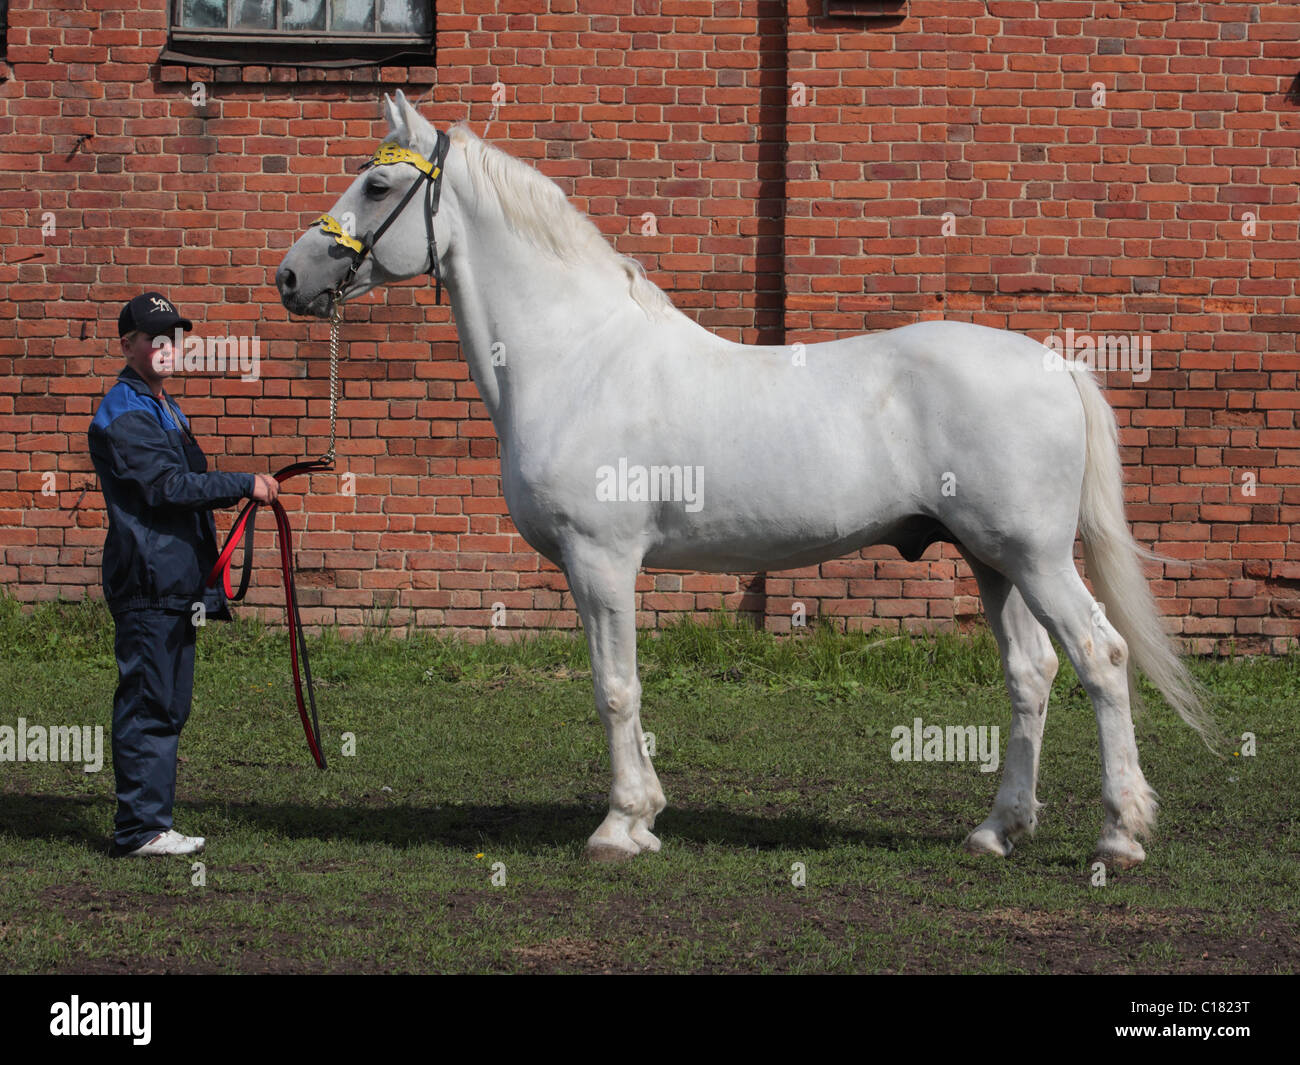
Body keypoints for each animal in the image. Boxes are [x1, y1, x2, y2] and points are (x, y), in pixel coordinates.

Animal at [276, 91, 1216, 868]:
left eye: (374, 184)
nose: (290, 275)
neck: (579, 357)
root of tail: (1055, 364)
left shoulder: (601, 560)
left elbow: (615, 687)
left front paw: (621, 825)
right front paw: (644, 815)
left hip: (1036, 556)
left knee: (1101, 657)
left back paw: (1119, 833)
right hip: (994, 561)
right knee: (1032, 673)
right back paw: (996, 830)